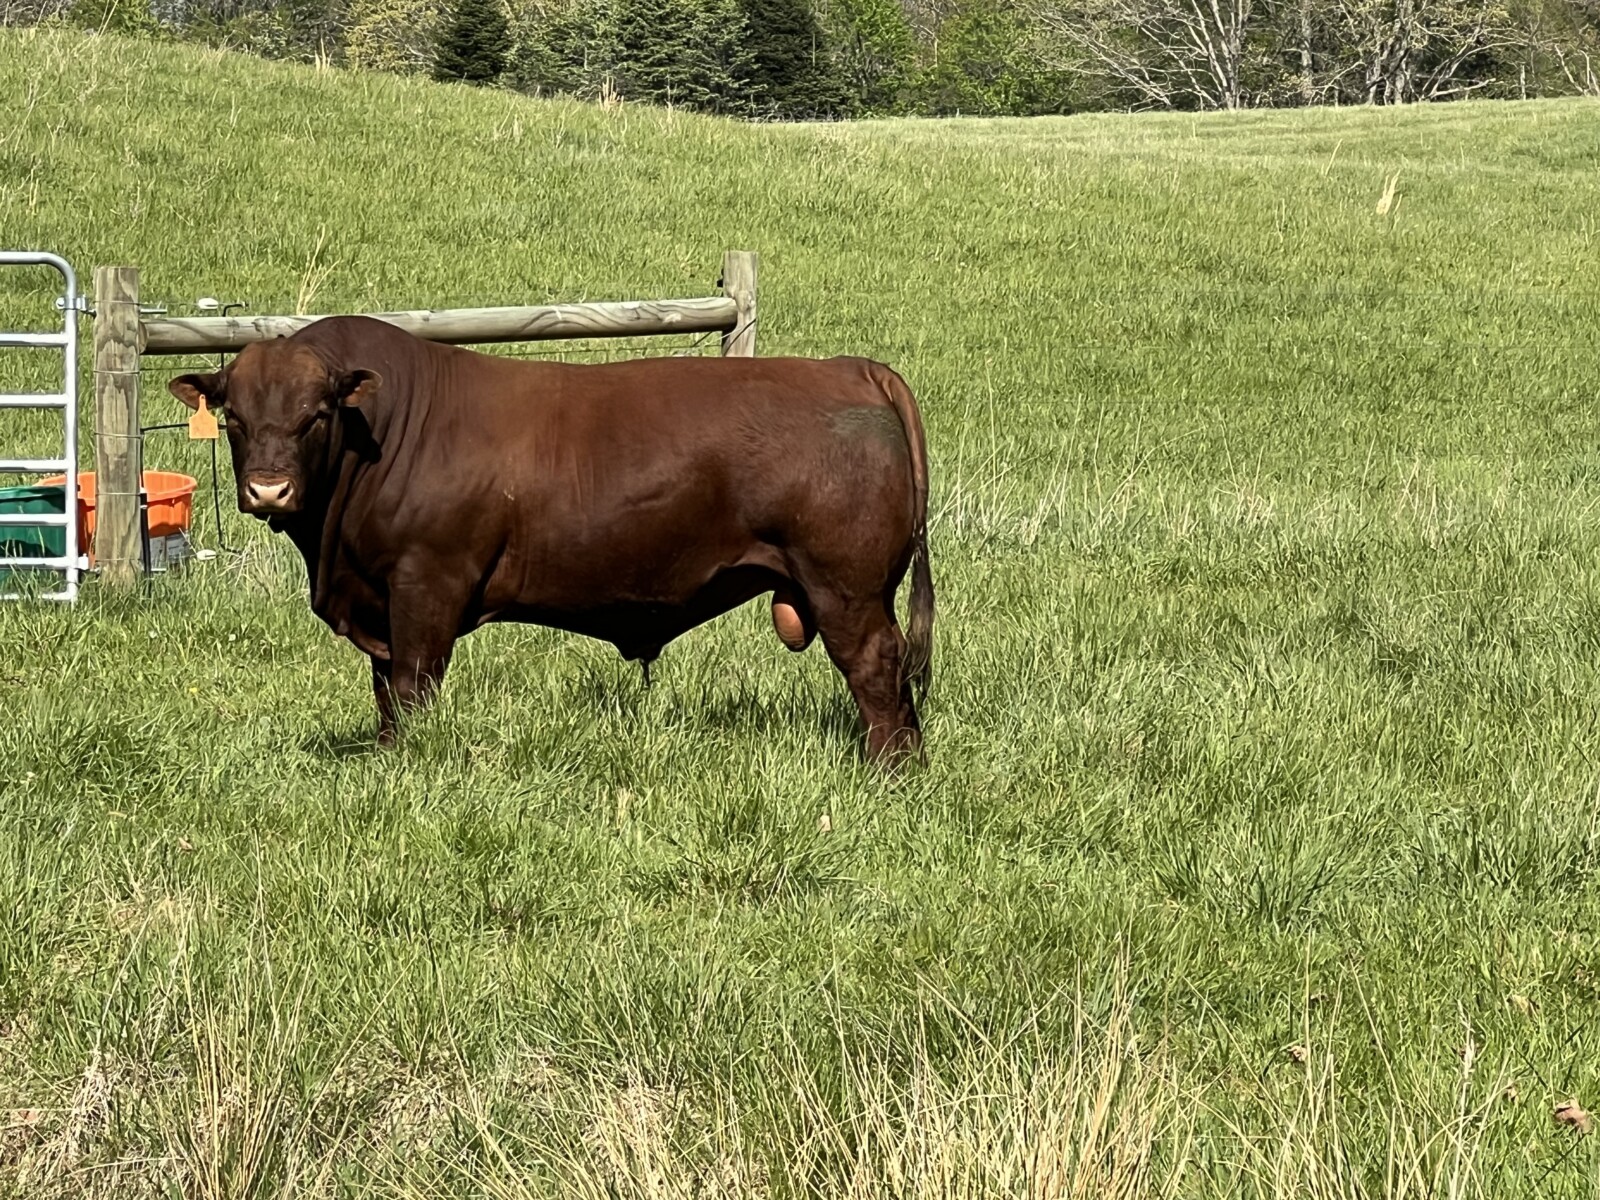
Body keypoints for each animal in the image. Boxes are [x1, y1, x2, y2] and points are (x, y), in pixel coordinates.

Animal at [168, 316, 934, 763]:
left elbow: (414, 685)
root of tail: (849, 367)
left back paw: (887, 770)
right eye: (233, 418)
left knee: (874, 669)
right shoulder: (378, 598)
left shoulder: (425, 583)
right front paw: (384, 757)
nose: (269, 490)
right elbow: (385, 690)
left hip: (845, 587)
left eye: (317, 414)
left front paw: (409, 763)